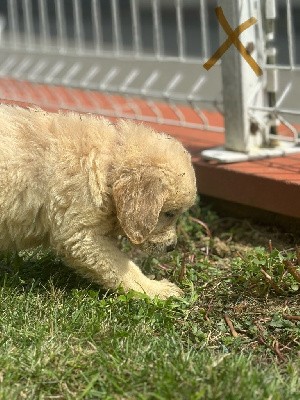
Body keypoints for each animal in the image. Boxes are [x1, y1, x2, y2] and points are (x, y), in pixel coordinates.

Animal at [0, 104, 197, 298]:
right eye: (169, 213)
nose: (172, 247)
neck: (107, 165)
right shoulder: (82, 234)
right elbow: (123, 268)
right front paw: (156, 290)